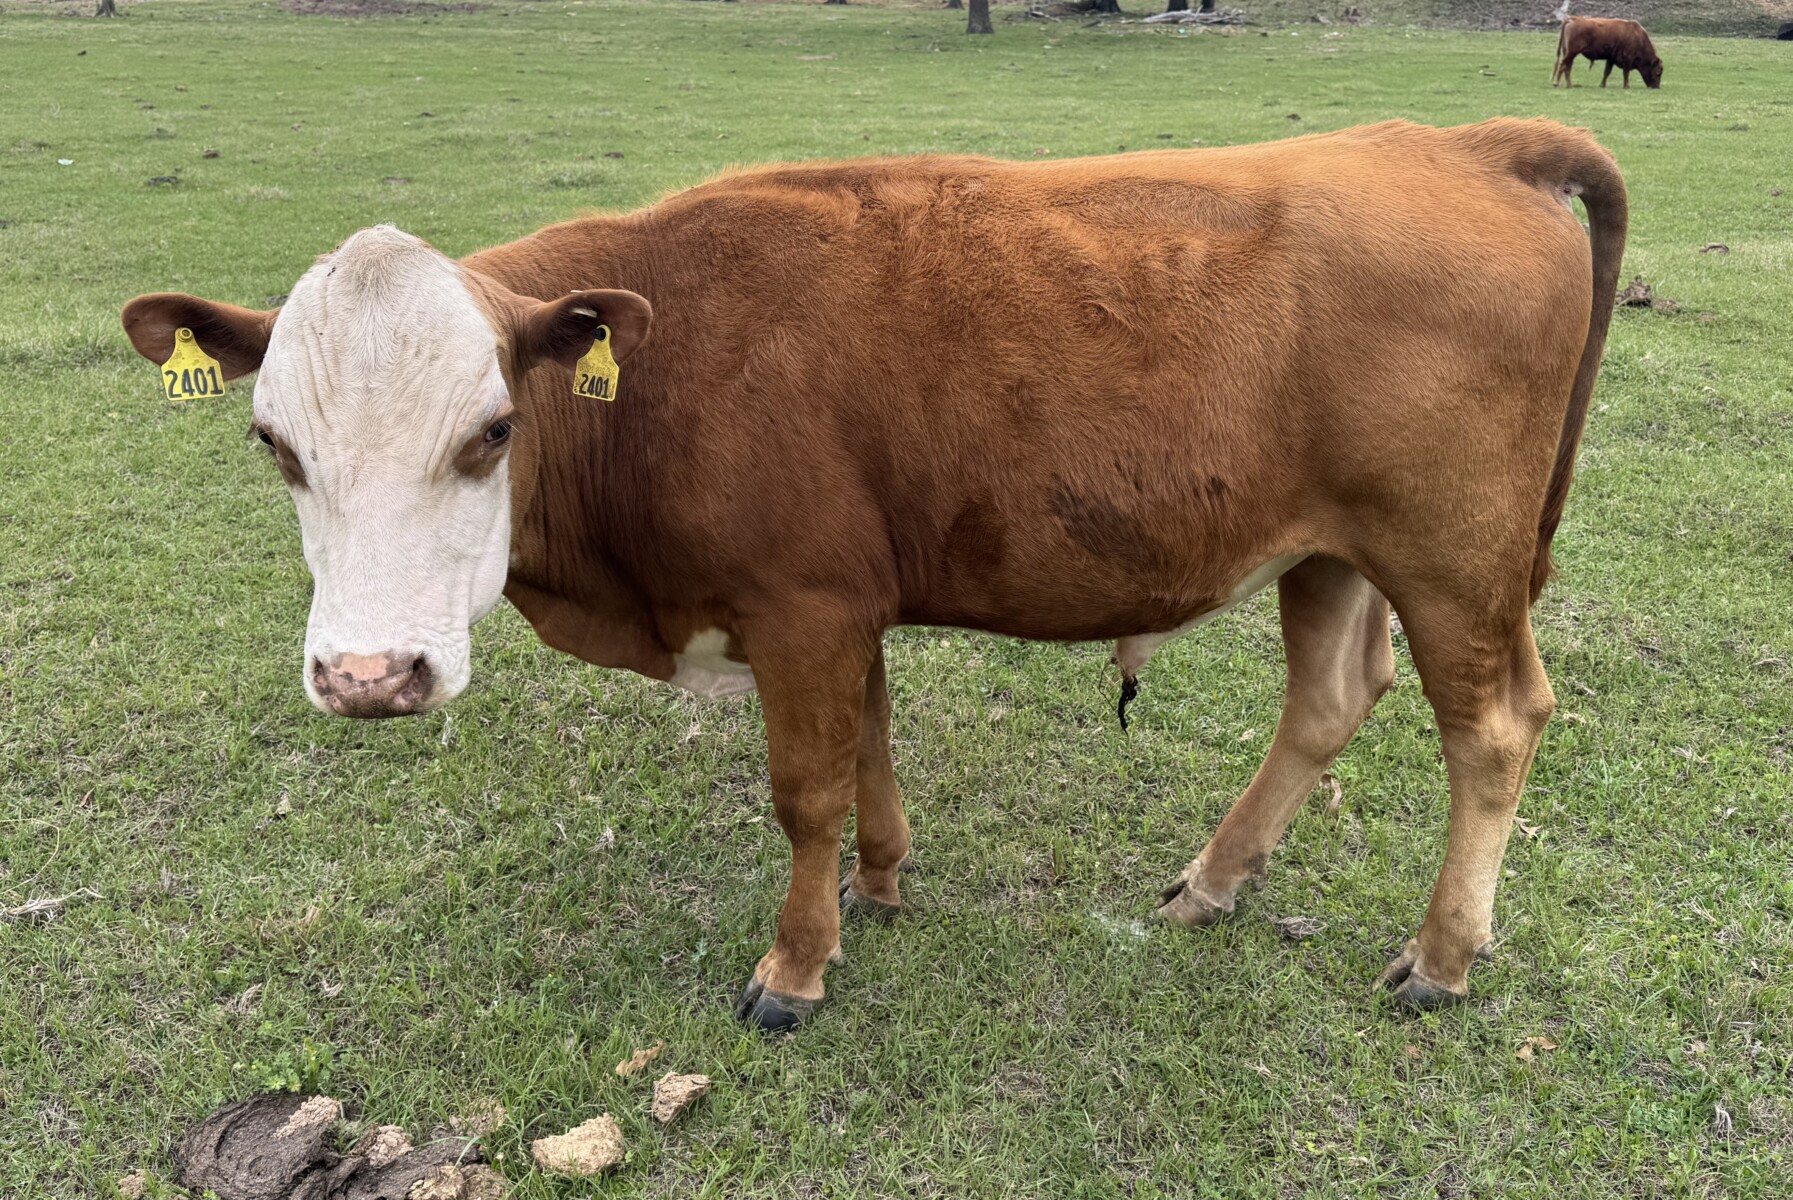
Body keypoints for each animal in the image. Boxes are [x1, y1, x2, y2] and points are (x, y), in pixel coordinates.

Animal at [122, 118, 1627, 1031]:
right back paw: (1213, 881)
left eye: (490, 432)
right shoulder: (845, 605)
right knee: (1326, 700)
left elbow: (803, 791)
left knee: (1492, 727)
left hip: (1452, 556)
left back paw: (1441, 956)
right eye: (273, 443)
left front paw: (794, 965)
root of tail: (1458, 142)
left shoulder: (798, 608)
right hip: (1327, 548)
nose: (370, 675)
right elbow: (871, 748)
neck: (658, 379)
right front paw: (883, 881)